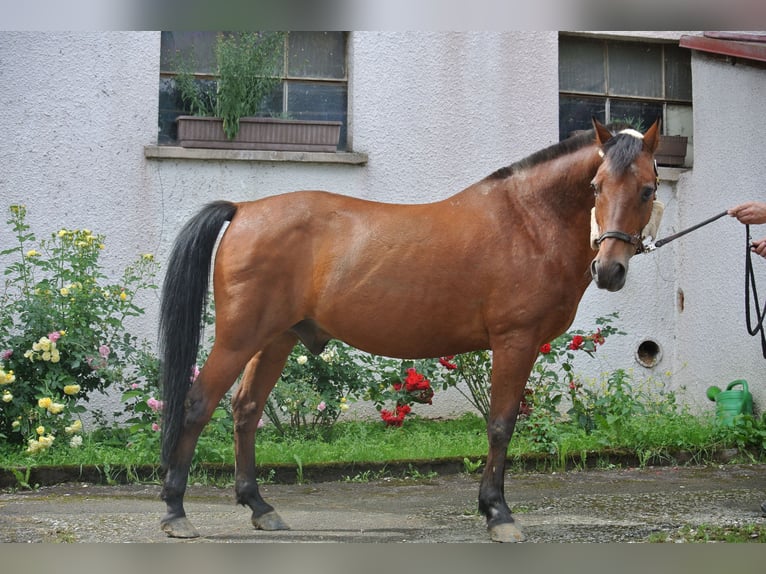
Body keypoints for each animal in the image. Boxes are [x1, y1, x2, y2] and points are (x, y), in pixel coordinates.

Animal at [159, 118, 664, 544]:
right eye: (596, 187)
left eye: (647, 189)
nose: (609, 270)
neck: (528, 221)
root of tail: (244, 209)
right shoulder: (514, 341)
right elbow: (501, 424)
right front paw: (498, 513)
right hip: (239, 338)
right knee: (197, 405)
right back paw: (175, 512)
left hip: (276, 339)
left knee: (246, 410)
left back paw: (259, 507)